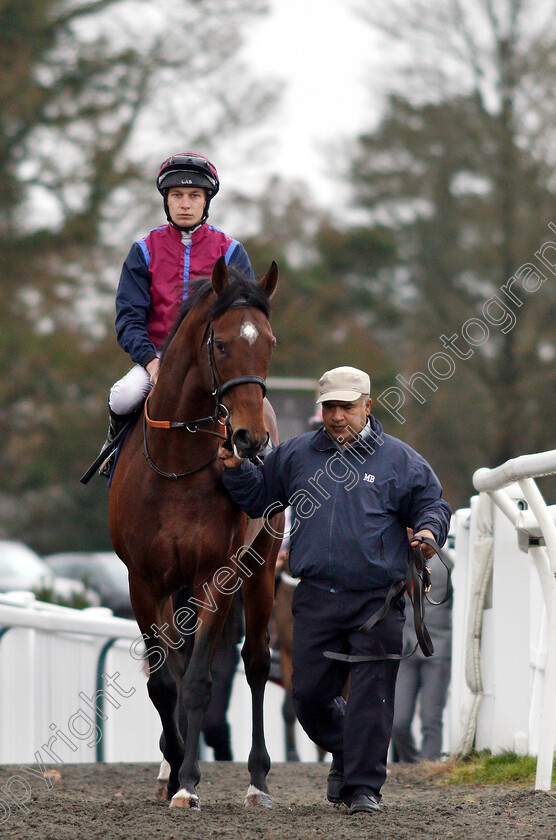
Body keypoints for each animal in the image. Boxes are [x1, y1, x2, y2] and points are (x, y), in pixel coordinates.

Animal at [108, 260, 282, 812]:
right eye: (221, 344)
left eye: (269, 341)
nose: (250, 439)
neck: (176, 466)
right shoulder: (143, 580)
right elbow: (165, 681)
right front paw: (173, 766)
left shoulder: (217, 575)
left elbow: (202, 679)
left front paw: (188, 782)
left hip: (262, 564)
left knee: (255, 663)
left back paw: (257, 780)